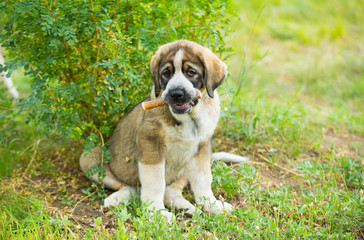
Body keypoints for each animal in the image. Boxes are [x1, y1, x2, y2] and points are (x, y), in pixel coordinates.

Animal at [79, 39, 245, 221]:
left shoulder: (201, 147)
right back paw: (117, 198)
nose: (176, 93)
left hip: (184, 167)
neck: (188, 118)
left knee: (170, 189)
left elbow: (203, 179)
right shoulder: (151, 144)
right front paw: (156, 213)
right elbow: (154, 183)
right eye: (166, 73)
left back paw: (186, 207)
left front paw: (212, 204)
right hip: (88, 157)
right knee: (133, 187)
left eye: (191, 72)